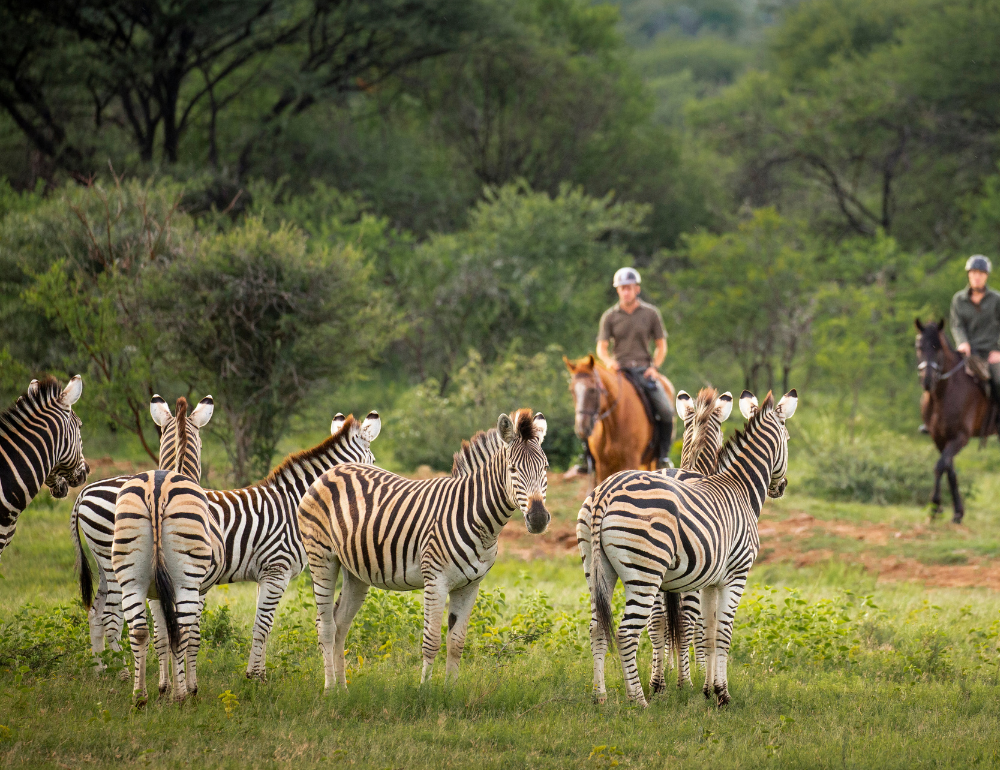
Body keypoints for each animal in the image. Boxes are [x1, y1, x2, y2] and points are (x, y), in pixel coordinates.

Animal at [563, 354, 676, 486]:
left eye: (593, 390)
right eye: (572, 391)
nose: (582, 429)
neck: (614, 424)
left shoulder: (631, 461)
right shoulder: (602, 466)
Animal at [915, 318, 995, 523]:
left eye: (938, 347)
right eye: (919, 346)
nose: (927, 381)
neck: (943, 394)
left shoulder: (960, 438)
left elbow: (939, 466)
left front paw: (935, 505)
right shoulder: (939, 438)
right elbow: (949, 470)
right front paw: (956, 512)